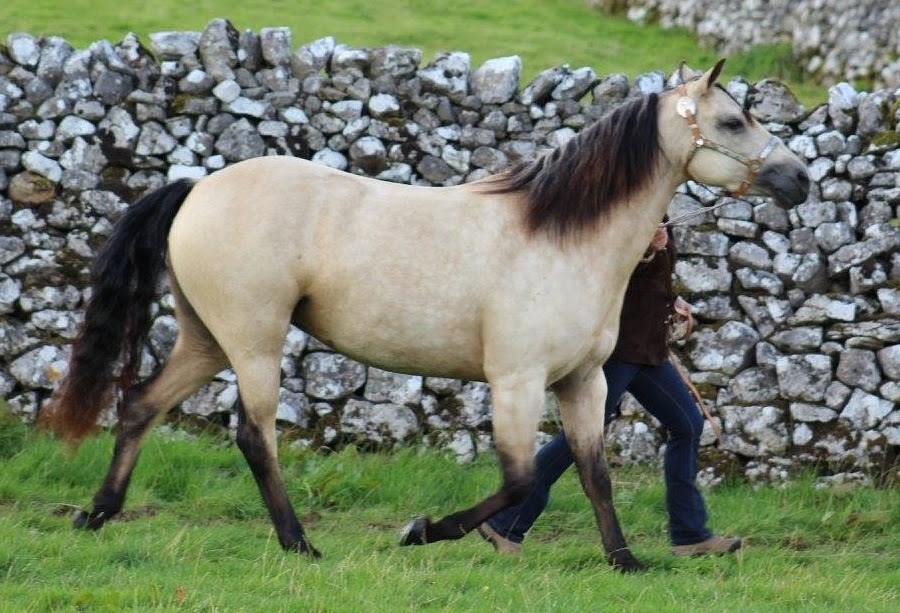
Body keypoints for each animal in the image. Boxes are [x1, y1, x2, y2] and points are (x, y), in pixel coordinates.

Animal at [40, 59, 808, 572]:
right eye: (733, 120)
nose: (799, 179)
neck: (561, 235)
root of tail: (198, 187)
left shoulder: (584, 382)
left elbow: (594, 472)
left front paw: (625, 561)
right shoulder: (516, 381)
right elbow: (521, 478)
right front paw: (422, 530)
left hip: (206, 340)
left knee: (140, 404)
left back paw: (96, 515)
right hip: (253, 342)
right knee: (255, 438)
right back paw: (299, 543)